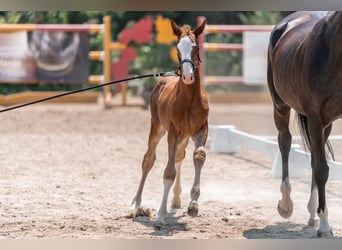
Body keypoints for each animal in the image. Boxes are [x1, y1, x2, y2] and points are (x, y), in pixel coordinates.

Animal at [130, 18, 208, 224]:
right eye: (178, 48)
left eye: (196, 47)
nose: (187, 76)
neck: (189, 99)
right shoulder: (173, 132)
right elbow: (168, 172)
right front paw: (161, 213)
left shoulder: (201, 130)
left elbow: (199, 156)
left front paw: (193, 204)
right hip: (157, 128)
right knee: (148, 160)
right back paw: (137, 204)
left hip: (184, 136)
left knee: (180, 156)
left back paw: (176, 200)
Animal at [268, 11, 342, 237]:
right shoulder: (315, 117)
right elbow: (321, 170)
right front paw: (325, 226)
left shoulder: (321, 121)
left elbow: (318, 165)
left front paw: (319, 218)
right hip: (280, 105)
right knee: (285, 142)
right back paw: (286, 204)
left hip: (325, 124)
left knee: (314, 156)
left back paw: (312, 214)